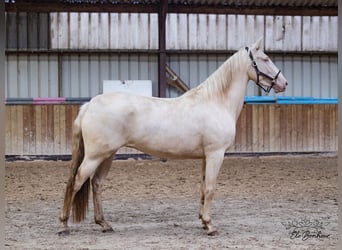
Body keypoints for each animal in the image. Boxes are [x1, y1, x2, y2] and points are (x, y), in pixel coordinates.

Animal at [58, 37, 286, 236]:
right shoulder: (216, 154)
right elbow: (210, 188)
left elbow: (202, 187)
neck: (216, 102)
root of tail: (89, 105)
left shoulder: (205, 157)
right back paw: (63, 225)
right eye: (265, 59)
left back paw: (104, 224)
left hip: (108, 155)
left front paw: (203, 221)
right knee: (75, 182)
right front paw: (210, 226)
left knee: (96, 184)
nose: (284, 83)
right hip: (95, 156)